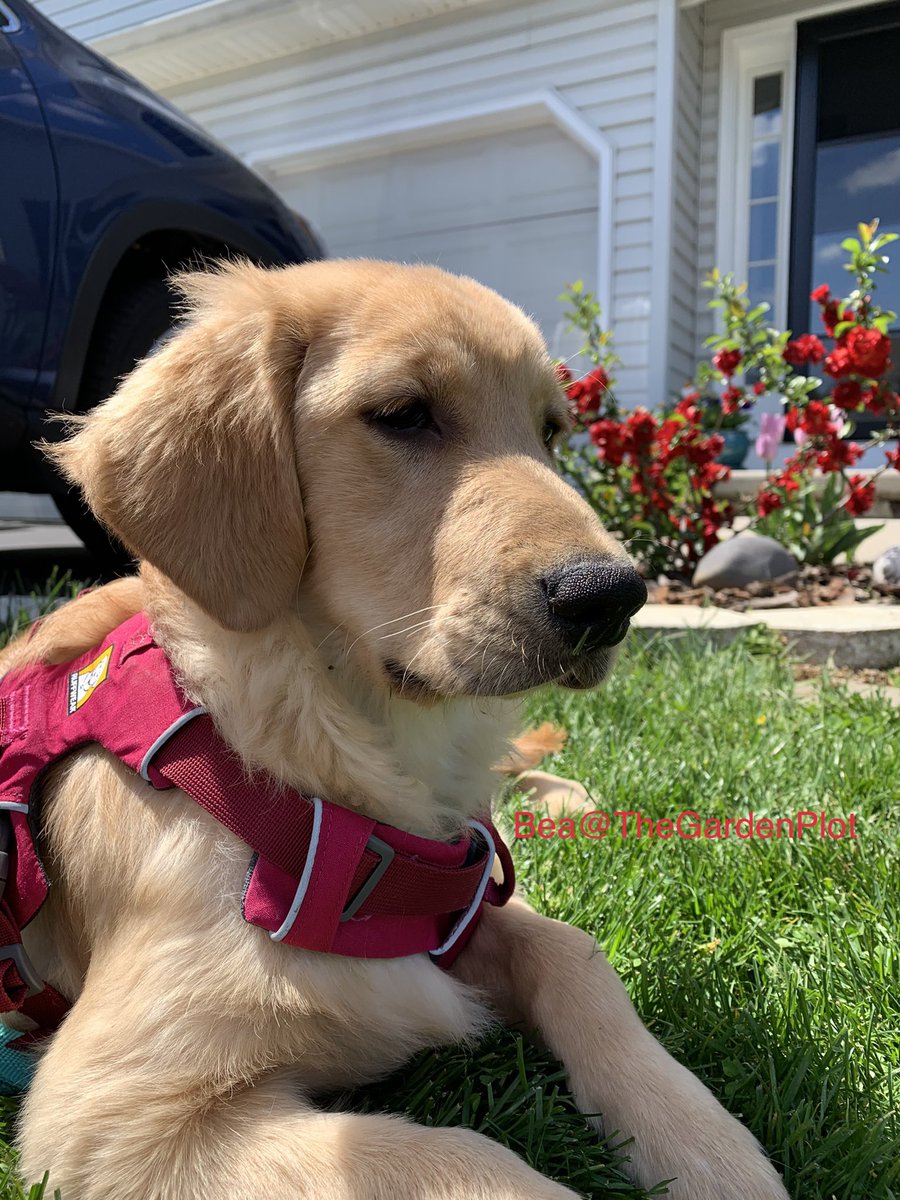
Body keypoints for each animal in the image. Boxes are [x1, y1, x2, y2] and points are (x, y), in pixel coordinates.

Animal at [0, 262, 787, 1200]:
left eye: (552, 431)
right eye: (406, 414)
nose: (613, 598)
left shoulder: (456, 895)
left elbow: (574, 950)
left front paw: (702, 1139)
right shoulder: (108, 1114)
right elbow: (454, 1156)